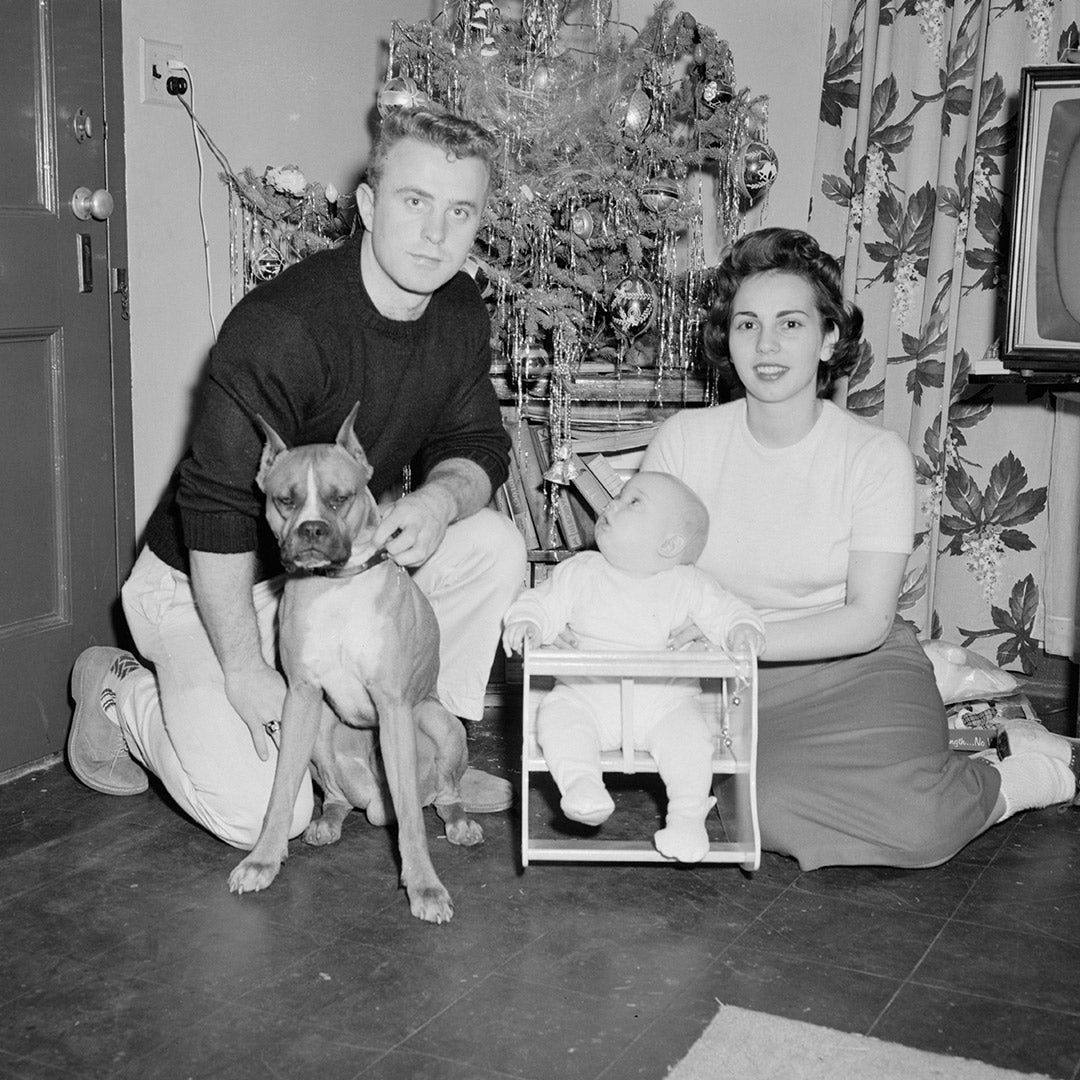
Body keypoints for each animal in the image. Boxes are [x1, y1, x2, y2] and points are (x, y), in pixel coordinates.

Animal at [230, 401, 483, 924]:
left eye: (339, 498)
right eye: (285, 500)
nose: (311, 530)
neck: (337, 586)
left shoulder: (393, 707)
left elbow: (410, 819)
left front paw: (424, 887)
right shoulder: (301, 698)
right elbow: (280, 793)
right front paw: (262, 860)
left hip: (437, 720)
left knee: (443, 795)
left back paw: (460, 823)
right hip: (323, 729)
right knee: (336, 798)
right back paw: (327, 822)